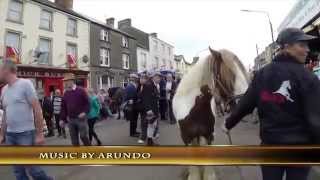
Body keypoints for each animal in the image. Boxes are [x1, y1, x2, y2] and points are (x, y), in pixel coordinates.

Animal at [174, 47, 249, 180]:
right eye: (231, 73)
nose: (245, 102)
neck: (193, 110)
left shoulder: (208, 135)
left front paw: (209, 175)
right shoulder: (186, 137)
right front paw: (194, 175)